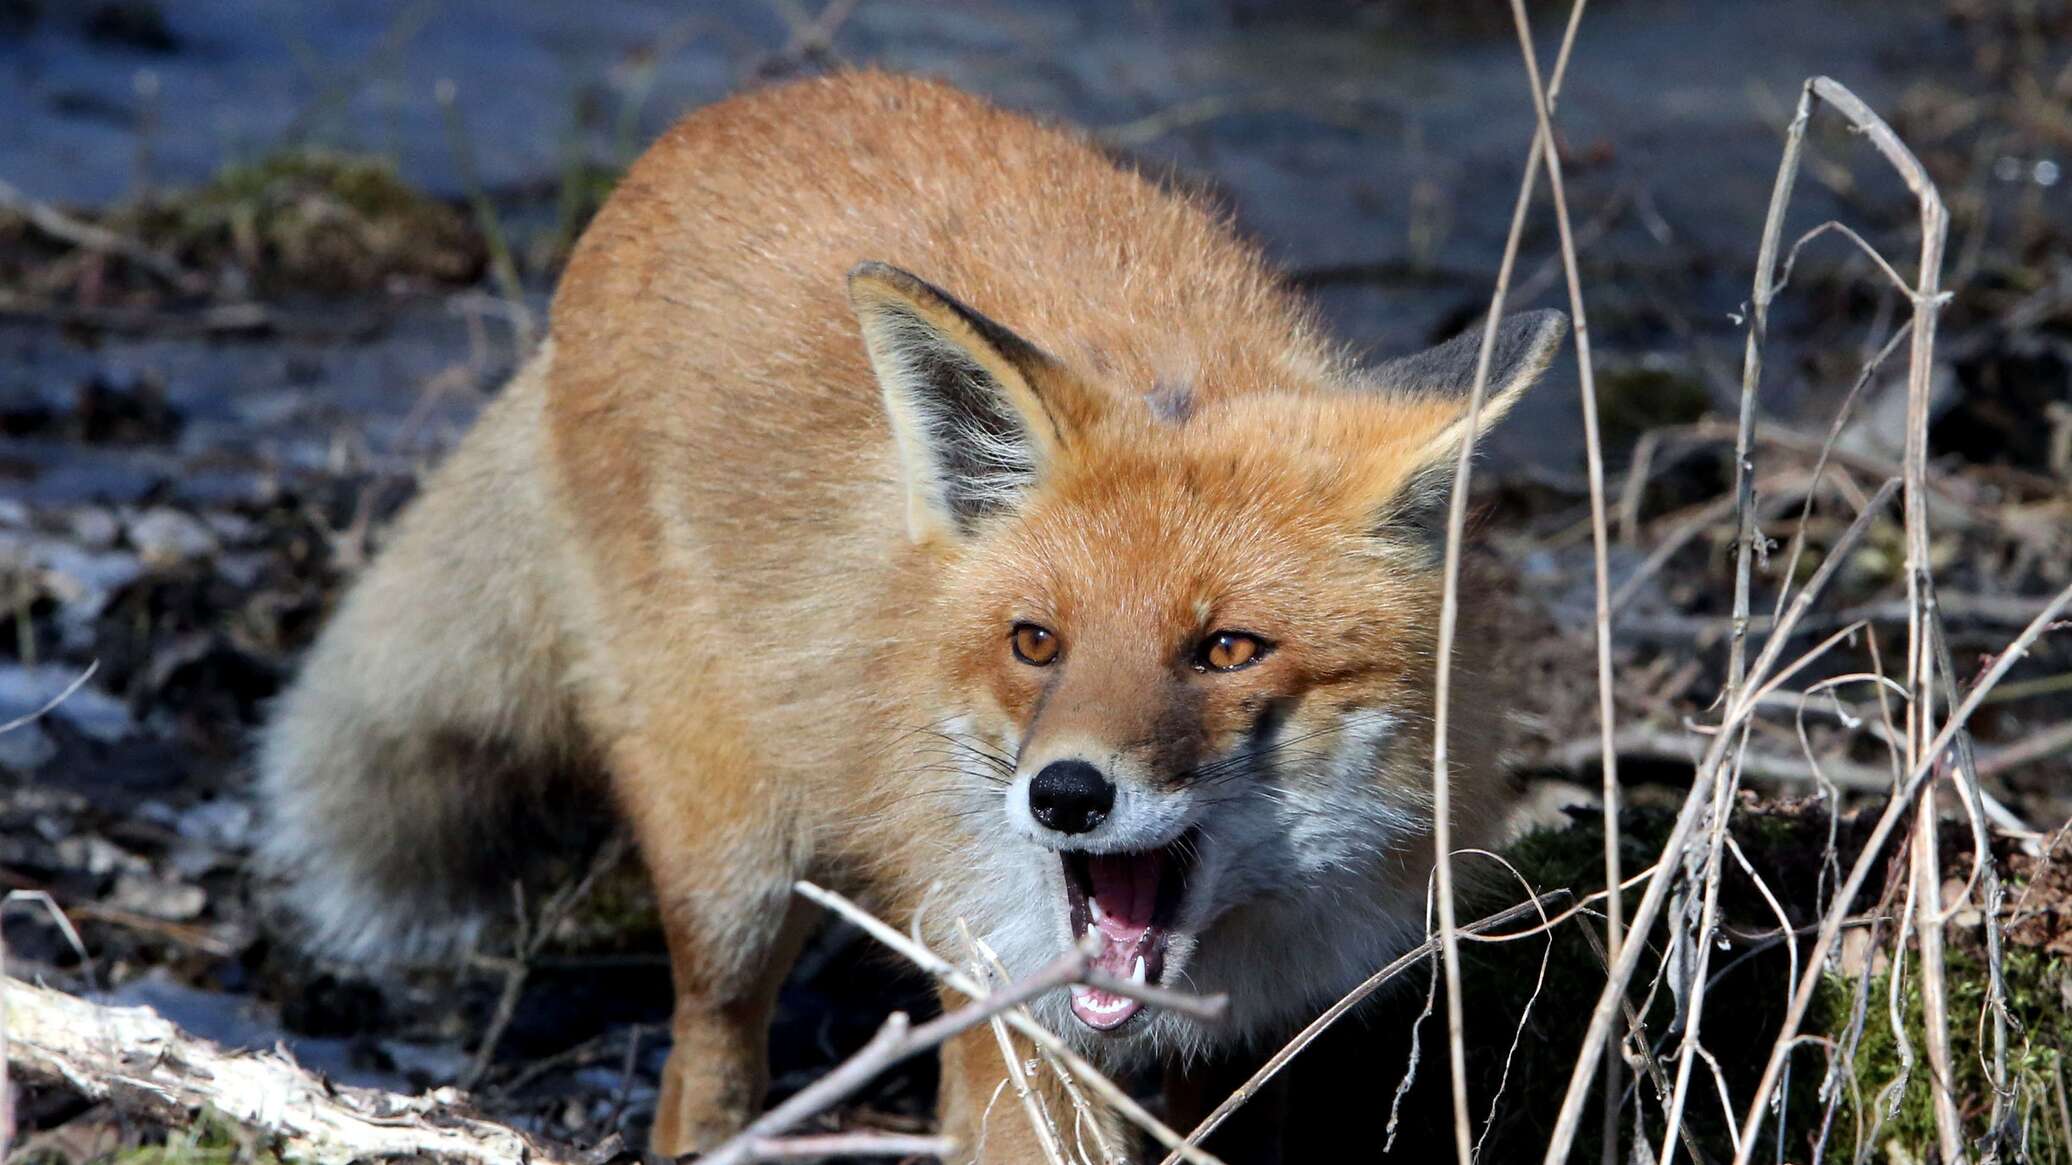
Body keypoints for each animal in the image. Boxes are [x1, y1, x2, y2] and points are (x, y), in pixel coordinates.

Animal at [250, 70, 1558, 1160]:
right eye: (1037, 642)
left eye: (1226, 648)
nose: (1065, 796)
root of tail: (719, 121)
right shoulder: (1013, 1021)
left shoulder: (1237, 1050)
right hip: (736, 878)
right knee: (700, 1068)